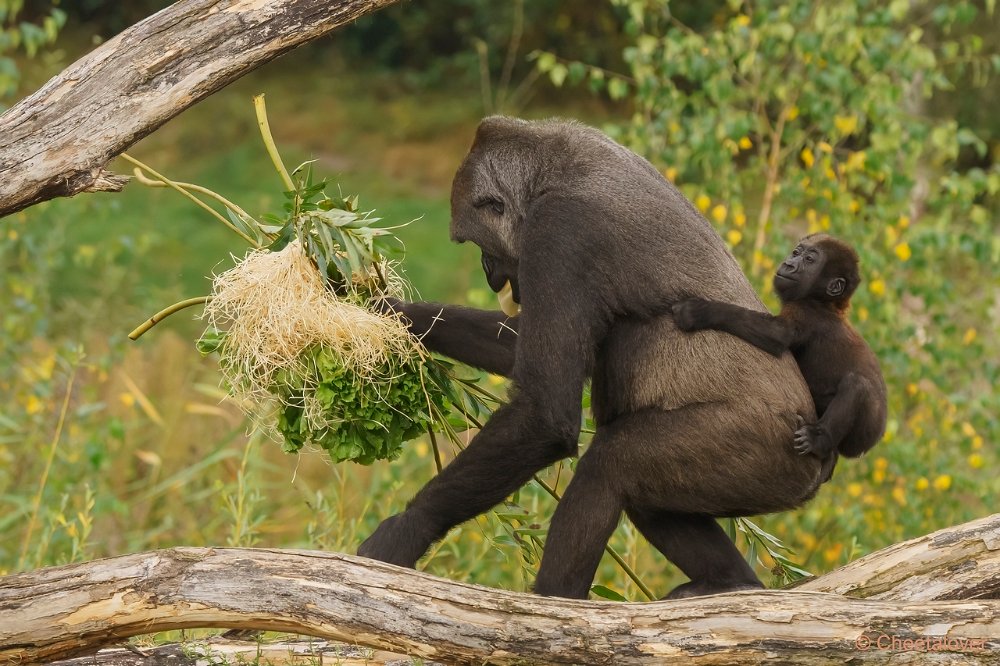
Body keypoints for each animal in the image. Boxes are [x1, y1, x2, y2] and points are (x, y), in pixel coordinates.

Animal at [360, 116, 820, 600]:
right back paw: (731, 583)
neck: (549, 169)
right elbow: (515, 348)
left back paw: (554, 605)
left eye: (478, 244)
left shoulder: (558, 230)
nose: (489, 273)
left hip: (771, 458)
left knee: (608, 466)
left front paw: (409, 528)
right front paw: (384, 311)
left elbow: (543, 415)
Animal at [676, 232, 888, 472]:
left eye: (809, 260)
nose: (789, 264)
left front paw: (698, 312)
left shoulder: (805, 310)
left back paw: (819, 440)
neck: (826, 301)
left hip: (868, 432)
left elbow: (776, 334)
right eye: (796, 252)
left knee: (857, 385)